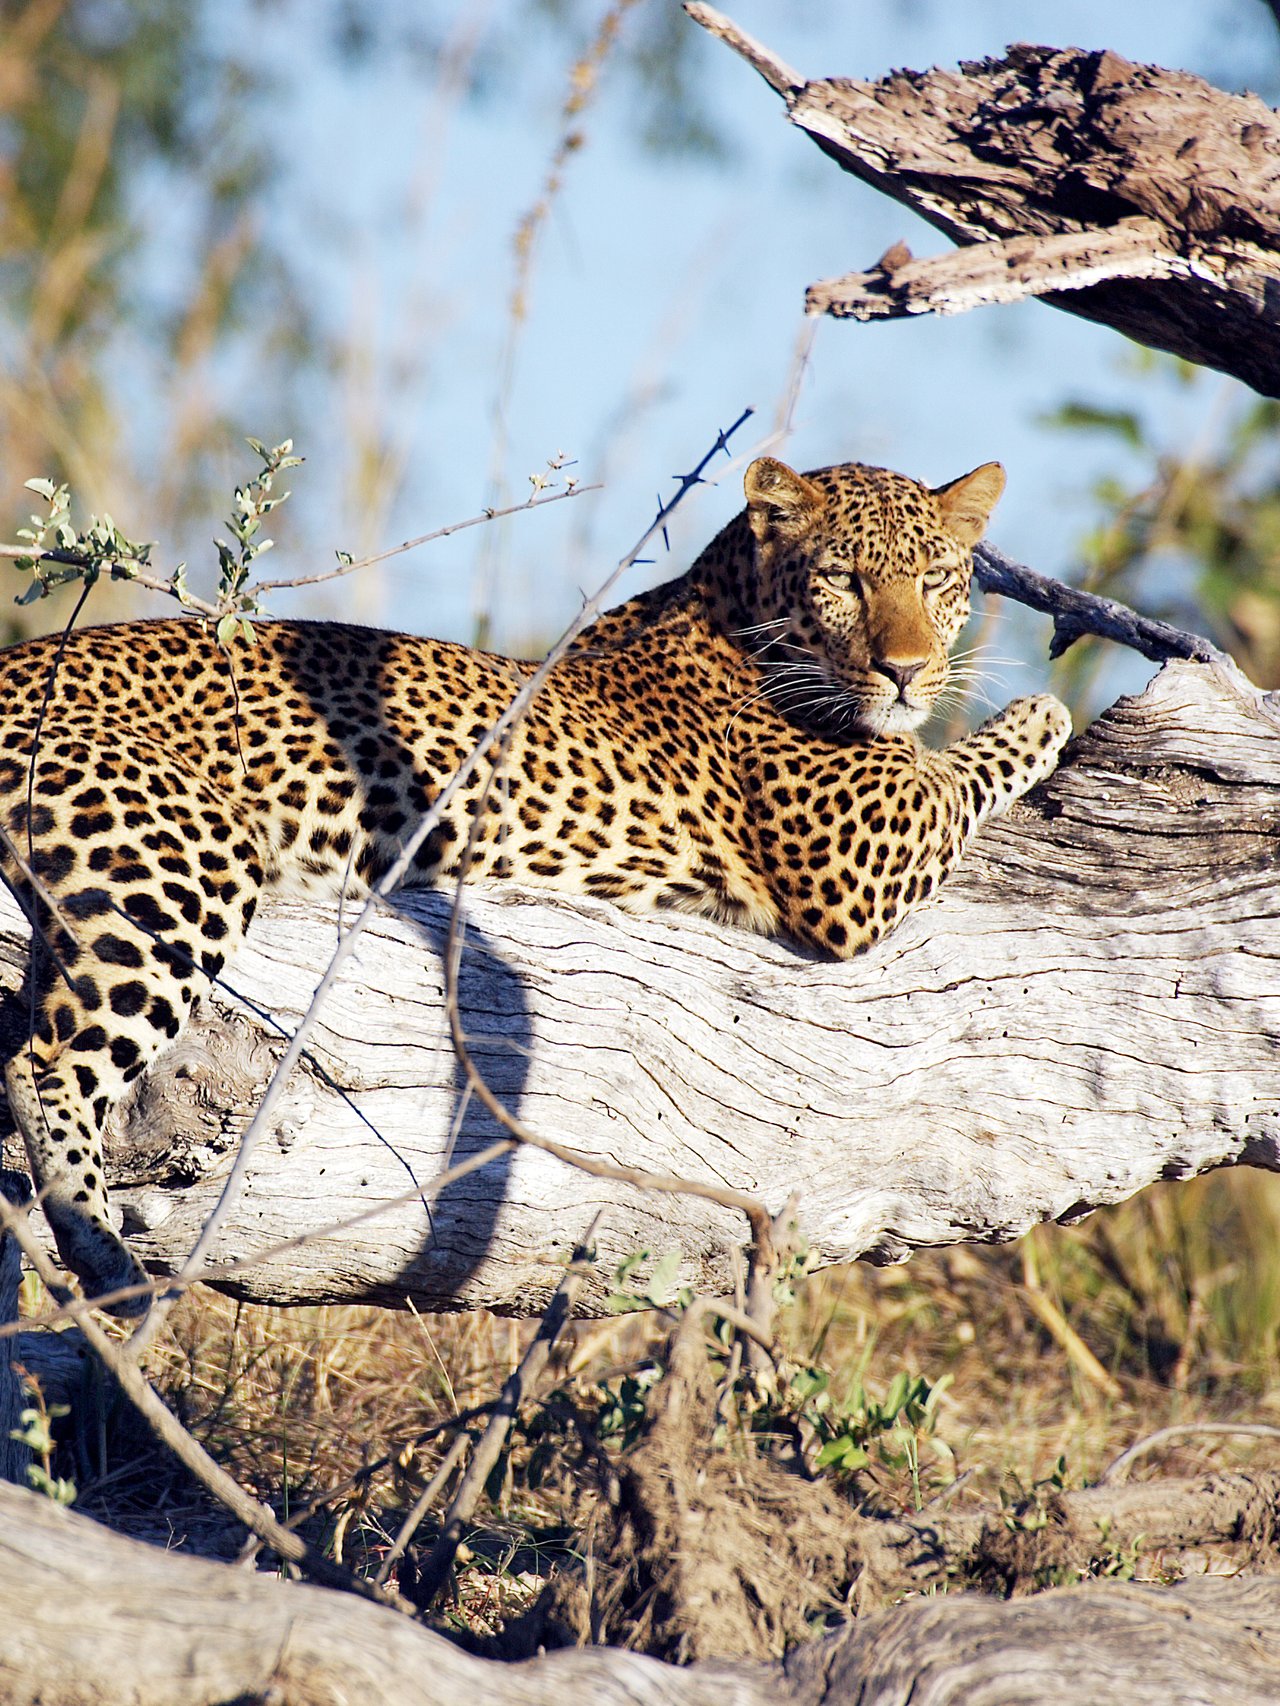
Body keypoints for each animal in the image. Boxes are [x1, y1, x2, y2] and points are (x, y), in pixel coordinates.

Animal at [0, 453, 1071, 1309]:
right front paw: (1043, 710)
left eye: (936, 579)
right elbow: (972, 761)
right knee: (45, 1066)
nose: (908, 670)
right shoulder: (863, 861)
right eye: (843, 579)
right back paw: (102, 1255)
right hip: (184, 860)